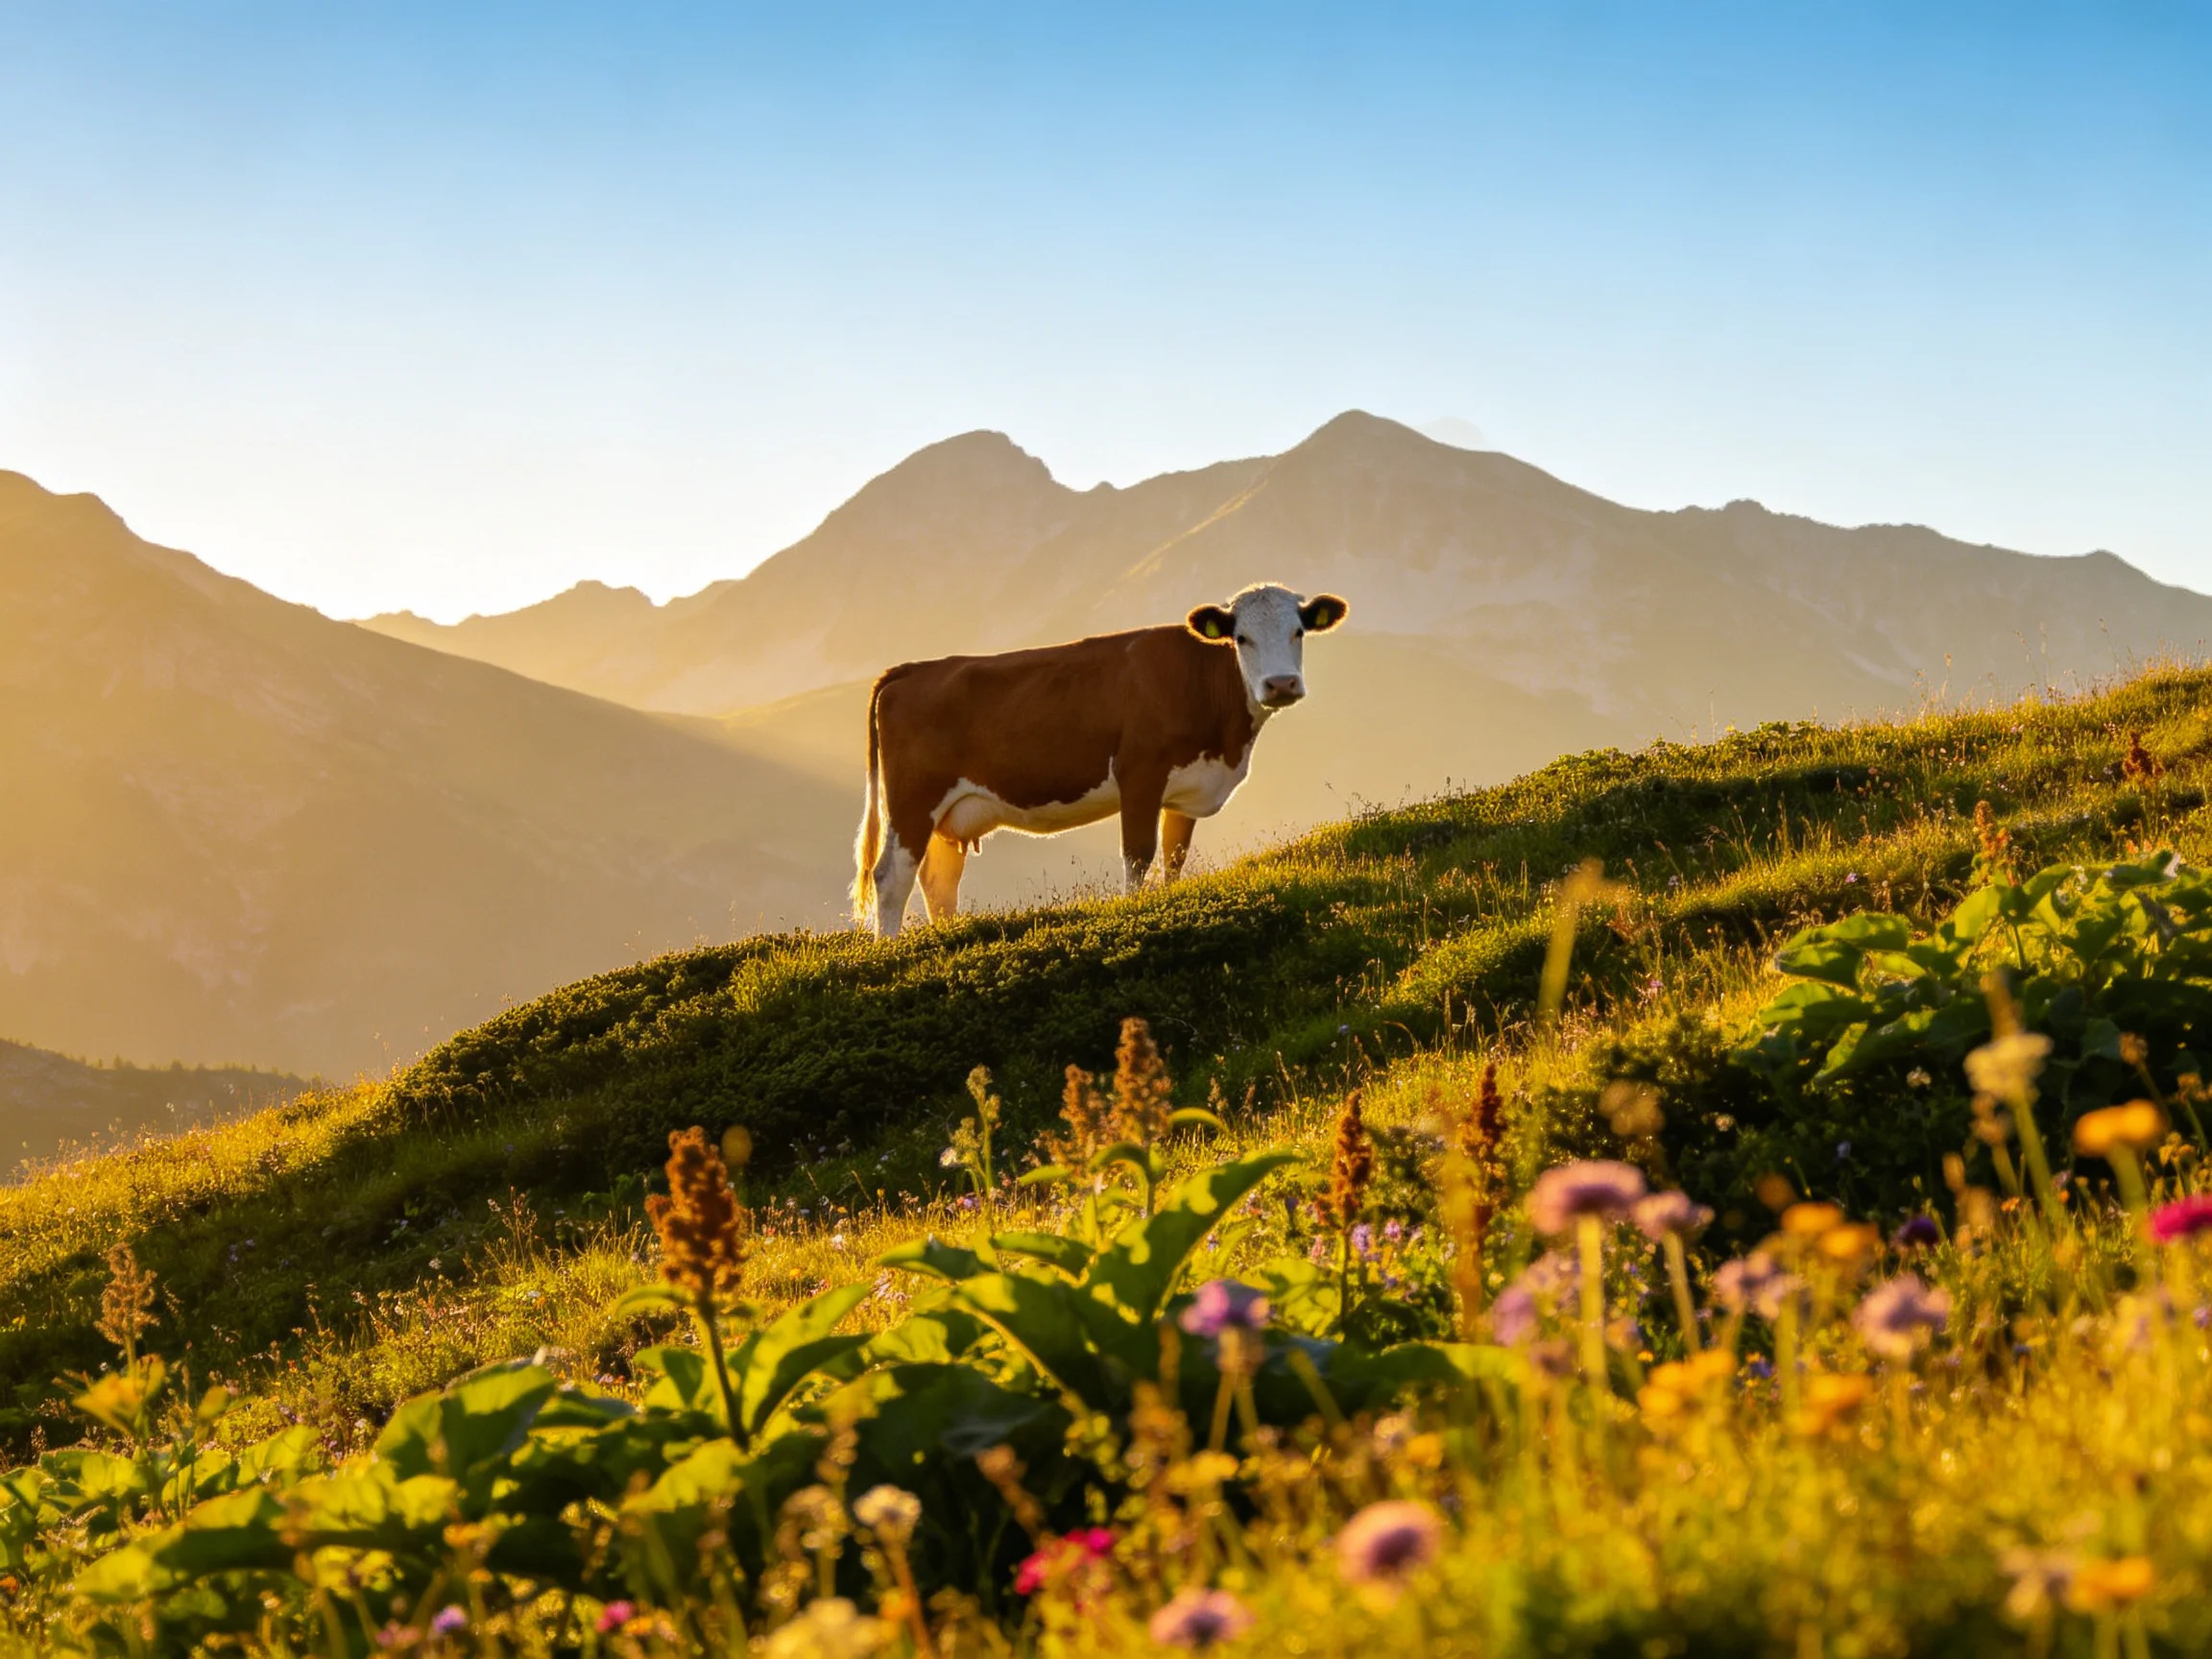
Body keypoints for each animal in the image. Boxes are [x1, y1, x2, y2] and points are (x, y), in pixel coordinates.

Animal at [852, 583, 1347, 937]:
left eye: (1298, 632)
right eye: (1241, 638)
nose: (1280, 684)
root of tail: (914, 669)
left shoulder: (1186, 788)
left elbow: (1175, 857)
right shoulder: (1140, 773)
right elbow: (1138, 855)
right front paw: (1136, 915)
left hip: (952, 812)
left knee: (939, 881)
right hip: (914, 800)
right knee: (891, 876)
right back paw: (888, 949)